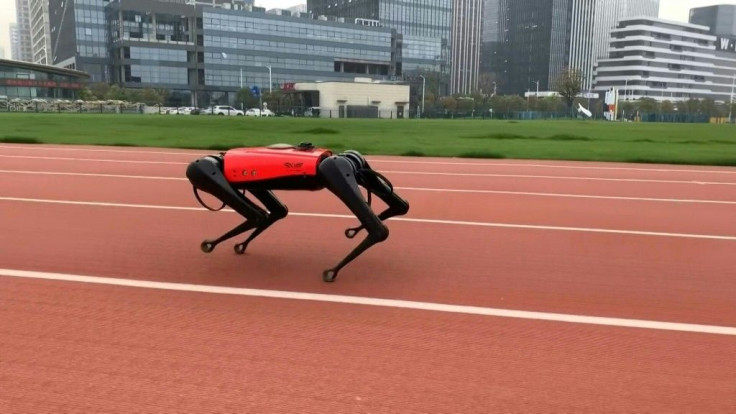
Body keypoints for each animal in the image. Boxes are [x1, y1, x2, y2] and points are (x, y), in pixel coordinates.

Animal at [185, 142, 408, 282]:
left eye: (198, 179)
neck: (221, 162)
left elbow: (257, 216)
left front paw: (212, 243)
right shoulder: (254, 183)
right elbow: (276, 212)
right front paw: (239, 244)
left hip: (334, 170)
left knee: (378, 229)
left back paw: (332, 271)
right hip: (355, 166)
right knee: (401, 206)